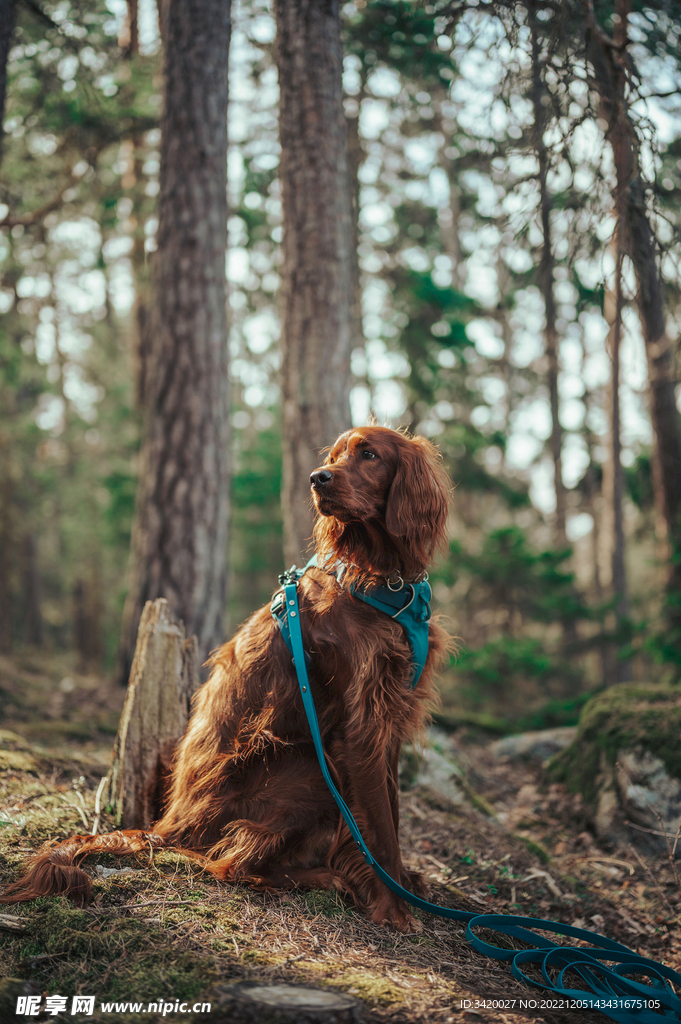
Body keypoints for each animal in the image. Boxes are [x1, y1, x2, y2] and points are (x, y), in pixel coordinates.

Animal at [5, 428, 454, 933]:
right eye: (336, 456)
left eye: (369, 455)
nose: (317, 478)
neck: (382, 580)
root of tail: (167, 825)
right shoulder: (359, 728)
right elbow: (377, 826)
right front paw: (393, 905)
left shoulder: (388, 716)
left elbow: (391, 810)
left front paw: (403, 882)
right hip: (307, 767)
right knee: (231, 863)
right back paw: (322, 877)